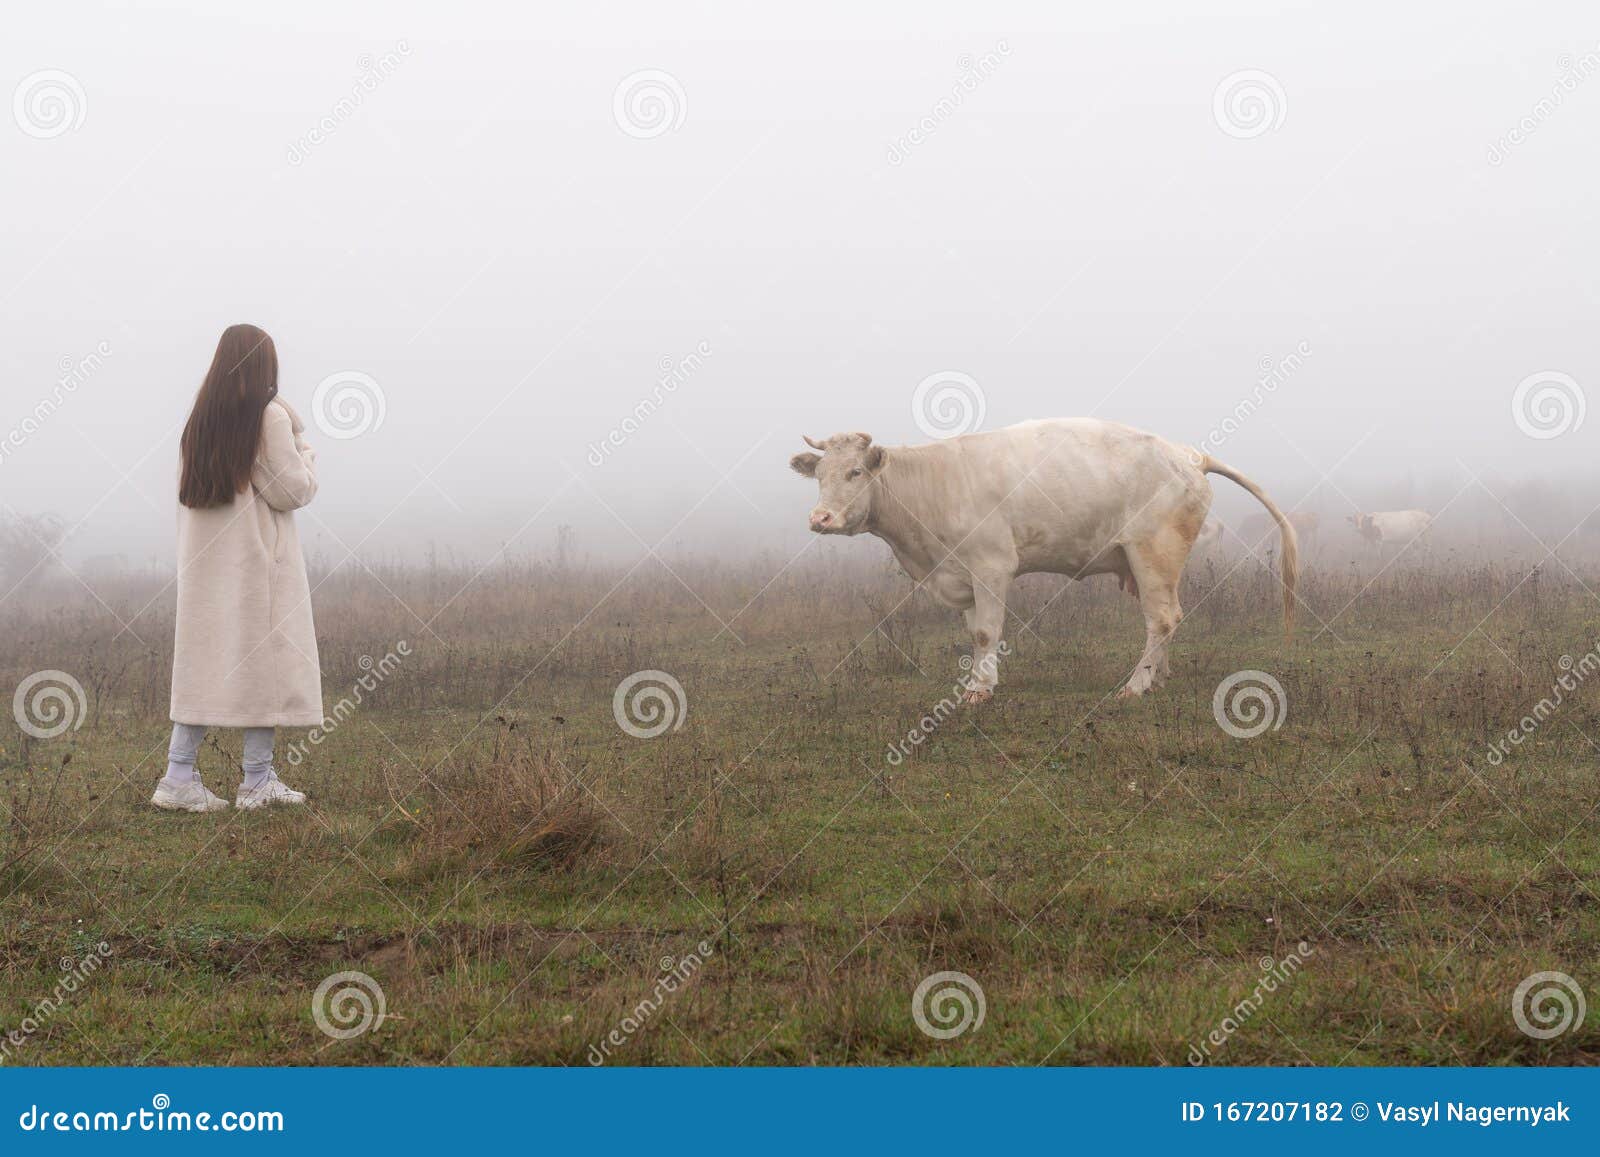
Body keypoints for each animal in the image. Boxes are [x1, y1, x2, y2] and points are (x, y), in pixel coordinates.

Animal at [787, 422, 1299, 700]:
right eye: (819, 475)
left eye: (855, 472)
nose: (820, 518)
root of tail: (1189, 455)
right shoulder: (961, 575)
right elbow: (973, 631)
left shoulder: (992, 565)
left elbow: (986, 631)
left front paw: (980, 690)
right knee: (1166, 617)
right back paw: (1157, 677)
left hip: (1152, 551)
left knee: (1163, 618)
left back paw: (1135, 685)